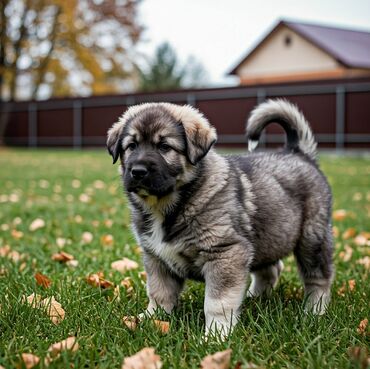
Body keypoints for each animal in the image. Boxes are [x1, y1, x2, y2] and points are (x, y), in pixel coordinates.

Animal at [106, 99, 332, 334]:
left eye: (164, 147)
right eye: (131, 146)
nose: (138, 171)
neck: (168, 205)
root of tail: (297, 152)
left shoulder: (225, 252)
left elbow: (217, 302)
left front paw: (216, 334)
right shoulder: (156, 257)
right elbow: (159, 292)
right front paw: (150, 318)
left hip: (311, 238)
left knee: (319, 277)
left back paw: (314, 311)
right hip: (266, 237)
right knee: (271, 269)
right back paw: (254, 299)